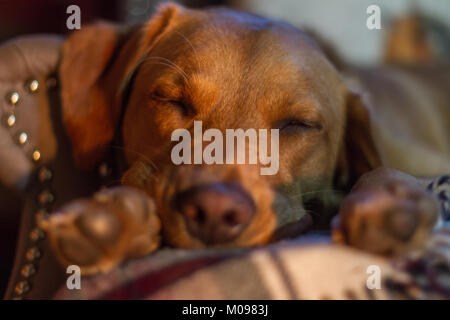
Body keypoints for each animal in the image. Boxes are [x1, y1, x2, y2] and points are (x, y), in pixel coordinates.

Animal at [40, 2, 448, 274]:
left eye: (298, 124)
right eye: (171, 100)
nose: (214, 211)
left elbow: (384, 170)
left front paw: (388, 199)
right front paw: (112, 216)